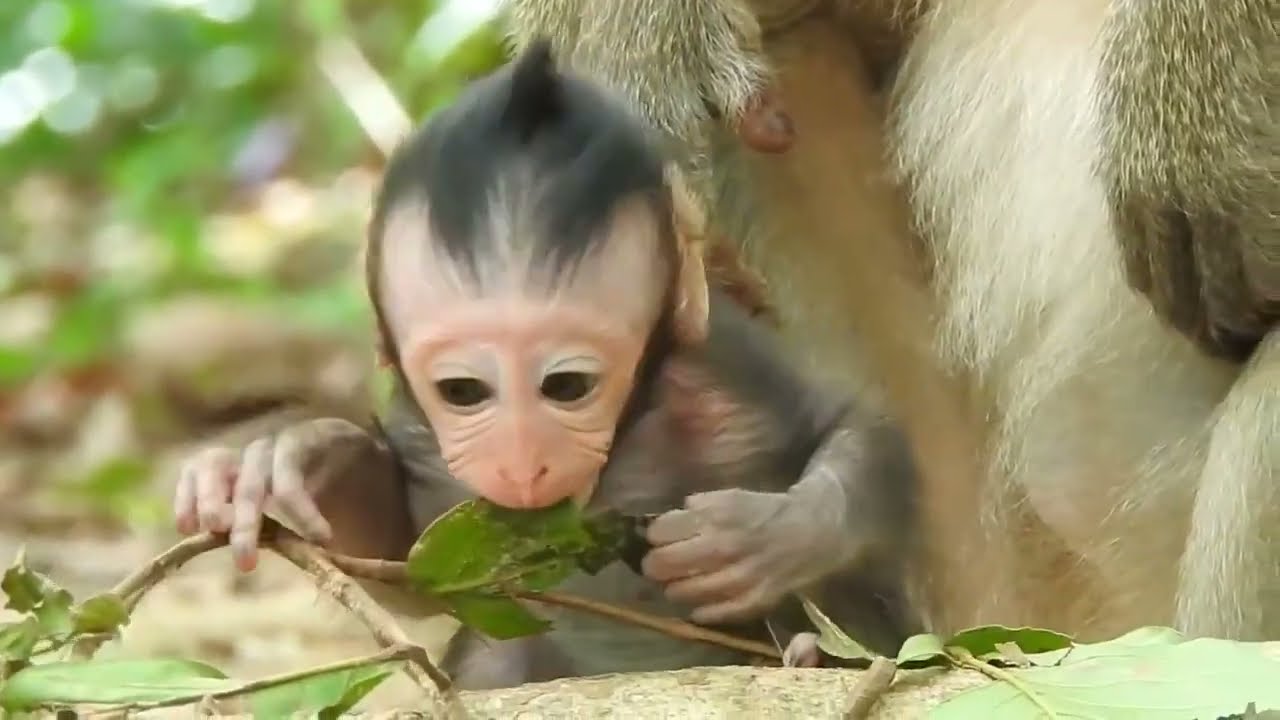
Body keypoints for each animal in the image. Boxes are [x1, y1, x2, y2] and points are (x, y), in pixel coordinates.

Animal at [173, 41, 921, 689]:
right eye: (464, 392)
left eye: (567, 386)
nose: (522, 462)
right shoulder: (422, 431)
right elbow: (407, 566)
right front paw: (294, 460)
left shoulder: (722, 371)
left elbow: (864, 431)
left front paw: (770, 537)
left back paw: (810, 653)